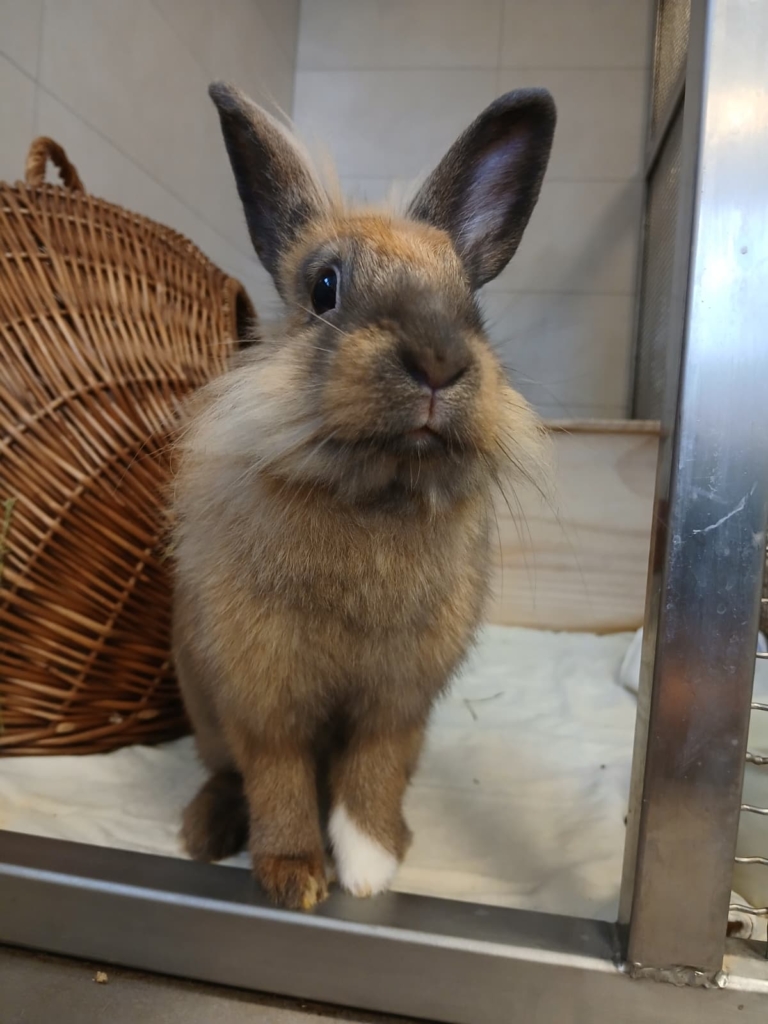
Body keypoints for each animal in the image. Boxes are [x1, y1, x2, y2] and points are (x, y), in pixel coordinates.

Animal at [172, 81, 556, 910]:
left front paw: (372, 870)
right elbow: (279, 779)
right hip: (203, 707)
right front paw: (294, 877)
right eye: (325, 288)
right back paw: (204, 832)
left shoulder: (399, 703)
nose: (439, 361)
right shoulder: (263, 698)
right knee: (226, 772)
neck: (377, 492)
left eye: (471, 303)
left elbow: (369, 776)